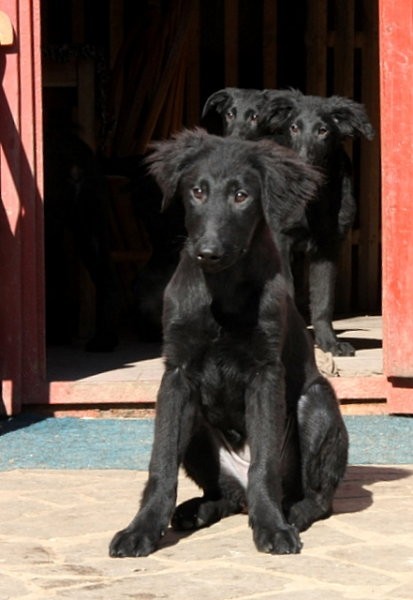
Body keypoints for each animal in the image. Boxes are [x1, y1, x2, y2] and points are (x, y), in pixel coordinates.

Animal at [109, 129, 348, 560]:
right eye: (197, 191)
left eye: (241, 196)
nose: (208, 251)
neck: (222, 290)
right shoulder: (176, 376)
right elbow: (161, 465)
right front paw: (142, 529)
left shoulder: (265, 373)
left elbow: (264, 464)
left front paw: (272, 527)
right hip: (198, 427)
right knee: (225, 493)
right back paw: (198, 510)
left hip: (317, 402)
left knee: (316, 496)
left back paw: (293, 511)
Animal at [260, 90, 376, 356]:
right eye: (294, 127)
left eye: (323, 130)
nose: (303, 163)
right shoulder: (281, 241)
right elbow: (288, 291)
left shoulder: (328, 246)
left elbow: (324, 299)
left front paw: (329, 343)